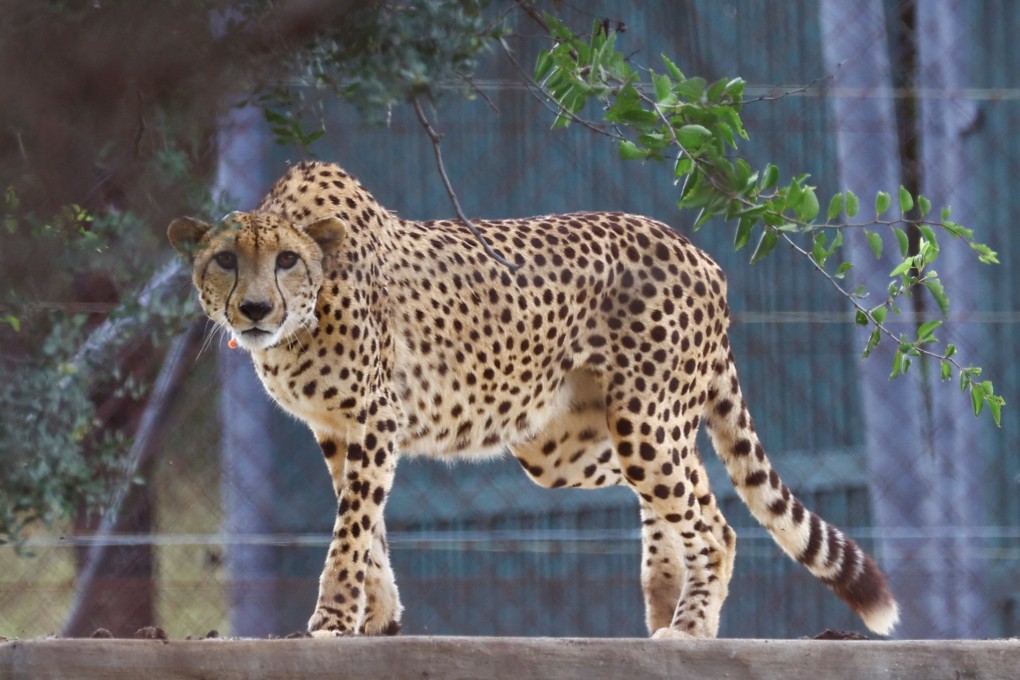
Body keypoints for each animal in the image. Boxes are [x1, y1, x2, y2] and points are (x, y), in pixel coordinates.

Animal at [168, 160, 899, 639]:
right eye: (225, 260)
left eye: (286, 260)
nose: (254, 309)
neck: (303, 317)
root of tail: (697, 251)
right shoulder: (337, 430)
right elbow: (365, 525)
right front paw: (378, 616)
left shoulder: (375, 418)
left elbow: (350, 527)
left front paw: (331, 618)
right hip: (572, 444)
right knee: (688, 478)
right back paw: (664, 596)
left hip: (639, 420)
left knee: (712, 519)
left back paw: (690, 626)